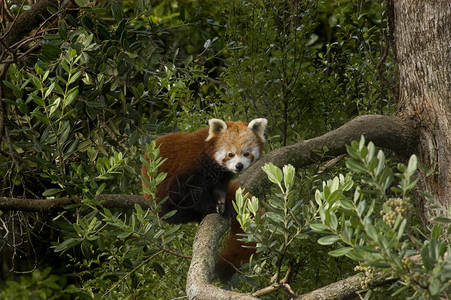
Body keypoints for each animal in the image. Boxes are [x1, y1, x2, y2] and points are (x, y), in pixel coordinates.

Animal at [143, 118, 266, 282]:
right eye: (230, 154)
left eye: (246, 153)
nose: (239, 166)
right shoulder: (190, 167)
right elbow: (188, 192)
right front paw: (210, 208)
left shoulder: (221, 177)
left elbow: (219, 189)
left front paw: (222, 205)